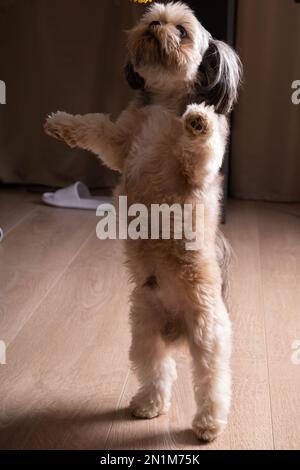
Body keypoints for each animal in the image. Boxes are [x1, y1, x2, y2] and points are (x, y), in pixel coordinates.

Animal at [44, 0, 241, 440]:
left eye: (182, 31)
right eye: (152, 17)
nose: (155, 26)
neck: (164, 106)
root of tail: (176, 327)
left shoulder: (196, 171)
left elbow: (200, 150)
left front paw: (198, 121)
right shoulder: (122, 142)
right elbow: (94, 127)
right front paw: (61, 123)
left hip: (207, 334)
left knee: (213, 383)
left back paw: (208, 424)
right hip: (144, 329)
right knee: (158, 372)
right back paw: (148, 404)